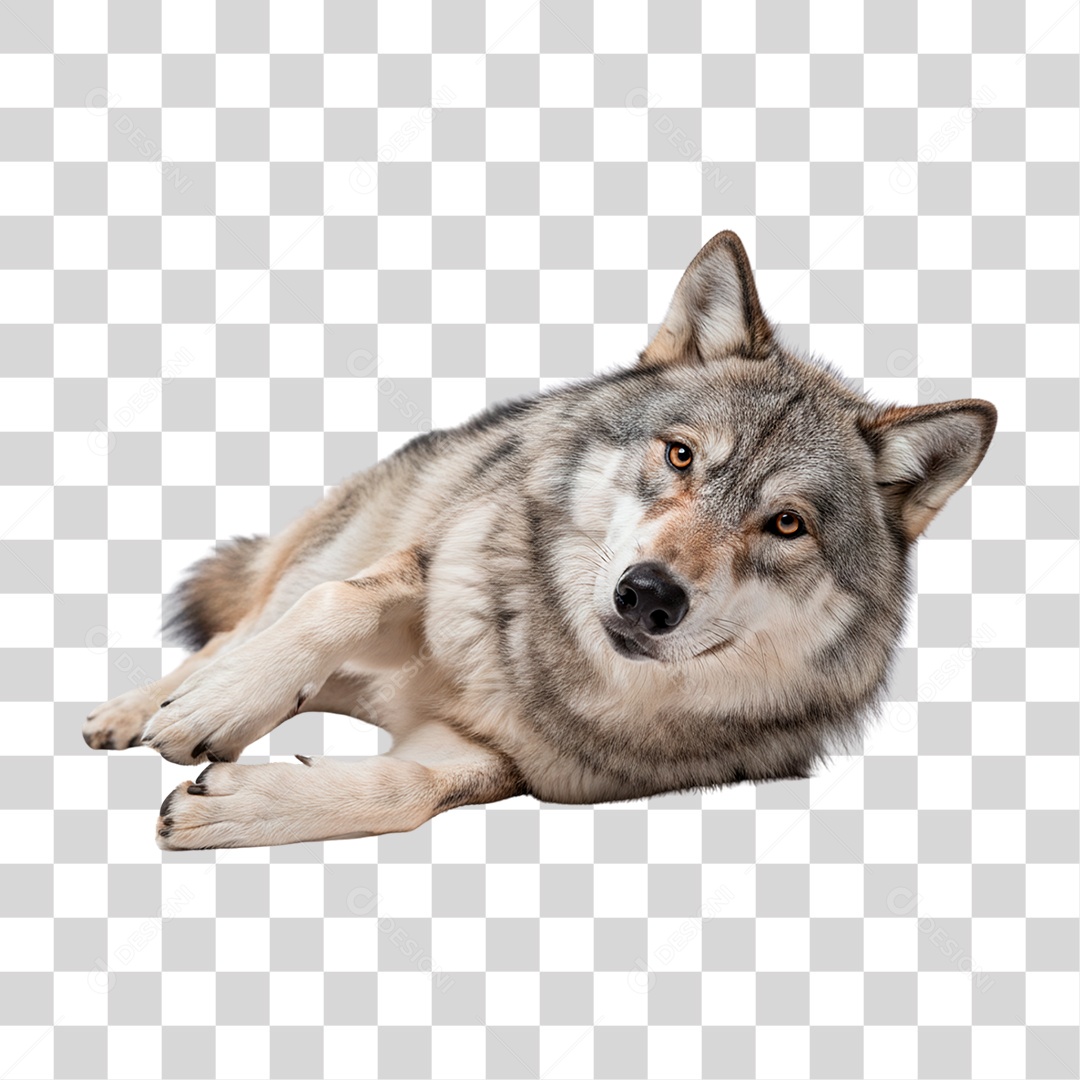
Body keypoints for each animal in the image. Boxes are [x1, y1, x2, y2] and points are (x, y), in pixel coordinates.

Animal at [83, 232, 997, 849]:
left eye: (786, 524)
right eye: (681, 455)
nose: (649, 594)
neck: (544, 673)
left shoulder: (494, 759)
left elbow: (404, 789)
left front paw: (244, 806)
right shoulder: (426, 564)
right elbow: (333, 609)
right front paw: (216, 709)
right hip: (335, 543)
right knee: (242, 628)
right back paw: (142, 710)